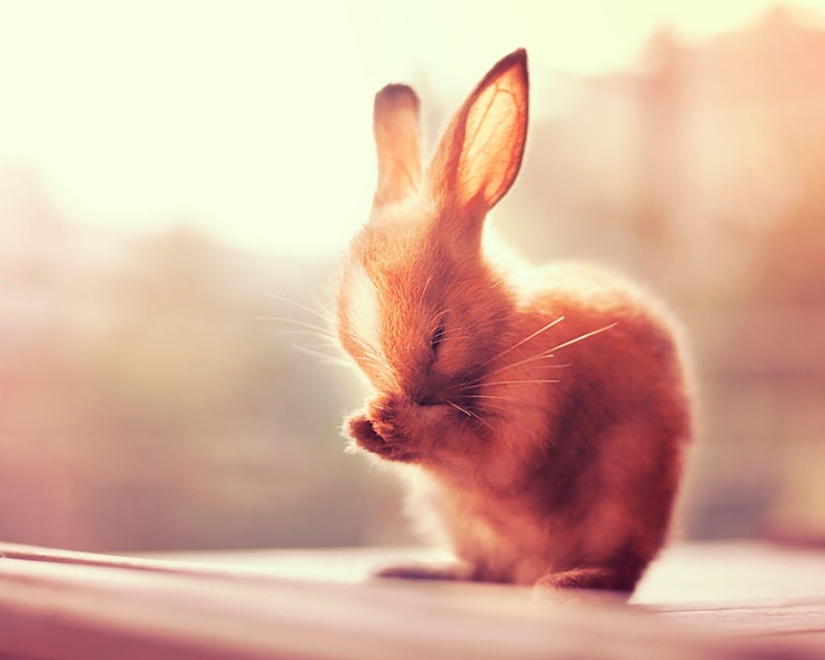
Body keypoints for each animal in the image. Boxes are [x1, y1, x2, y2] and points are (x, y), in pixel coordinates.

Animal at [335, 48, 693, 595]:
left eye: (439, 336)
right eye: (353, 348)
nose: (409, 396)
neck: (501, 328)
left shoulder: (525, 416)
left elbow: (486, 455)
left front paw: (392, 421)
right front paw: (363, 426)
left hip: (624, 495)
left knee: (623, 573)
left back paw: (570, 580)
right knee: (486, 571)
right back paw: (412, 569)